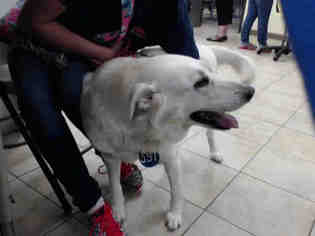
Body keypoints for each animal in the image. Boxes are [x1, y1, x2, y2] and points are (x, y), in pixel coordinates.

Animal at [80, 43, 256, 230]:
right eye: (201, 82)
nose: (251, 92)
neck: (139, 128)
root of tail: (203, 45)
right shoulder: (110, 157)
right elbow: (115, 186)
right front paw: (117, 211)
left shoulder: (170, 156)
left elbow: (176, 191)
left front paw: (175, 215)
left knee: (210, 136)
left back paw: (215, 153)